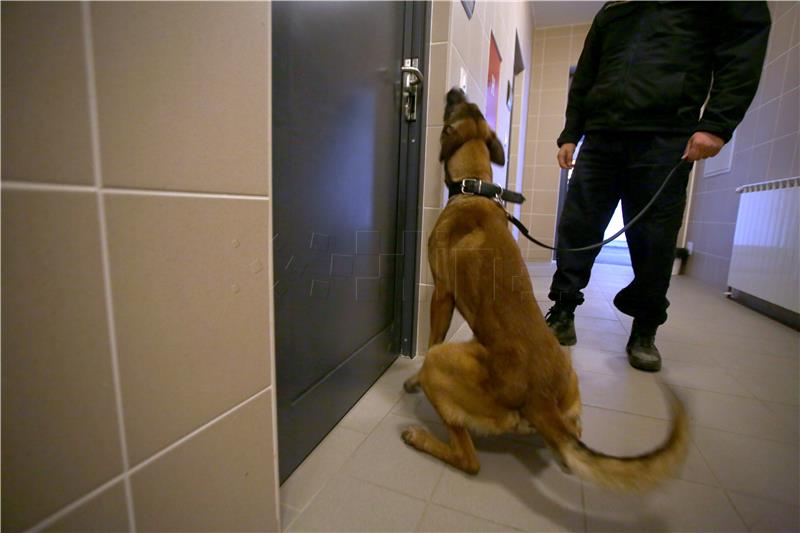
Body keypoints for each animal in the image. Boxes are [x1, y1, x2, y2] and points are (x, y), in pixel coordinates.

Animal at [404, 87, 692, 490]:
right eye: (470, 106)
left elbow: (432, 337)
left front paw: (411, 380)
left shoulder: (442, 293)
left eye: (453, 107)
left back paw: (420, 437)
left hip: (442, 363)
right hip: (571, 393)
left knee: (469, 459)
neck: (474, 186)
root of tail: (539, 399)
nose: (456, 90)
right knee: (574, 440)